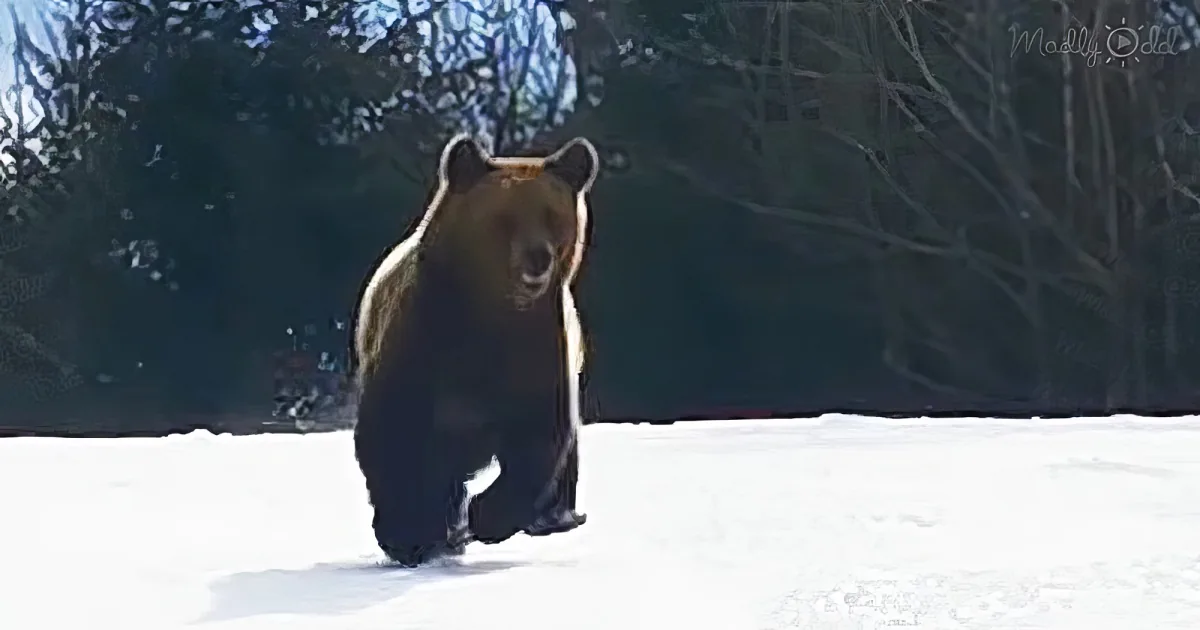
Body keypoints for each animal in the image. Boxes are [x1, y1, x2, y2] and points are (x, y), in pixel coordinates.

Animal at [349, 132, 600, 567]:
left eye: (552, 216)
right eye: (503, 218)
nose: (538, 258)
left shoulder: (537, 352)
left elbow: (538, 439)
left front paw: (487, 517)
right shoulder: (420, 346)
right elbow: (393, 436)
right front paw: (409, 534)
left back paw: (554, 516)